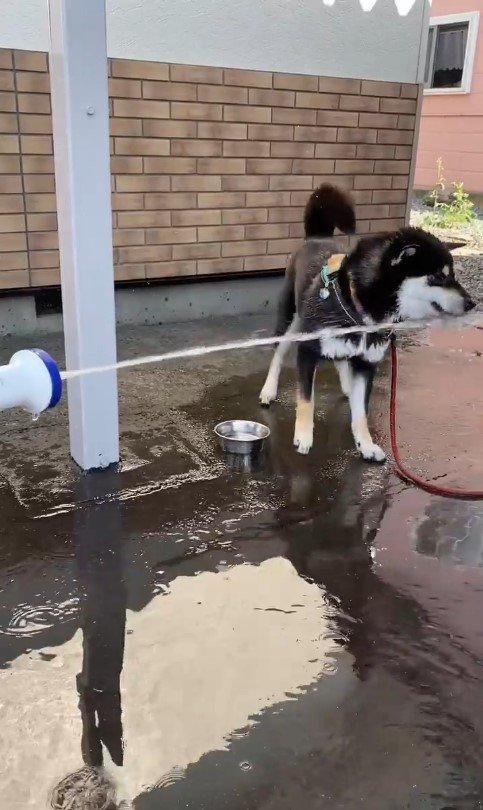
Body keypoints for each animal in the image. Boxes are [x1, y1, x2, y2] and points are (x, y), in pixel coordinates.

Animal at [260, 183, 476, 460]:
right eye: (438, 276)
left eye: (453, 275)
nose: (472, 303)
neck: (361, 308)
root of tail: (316, 237)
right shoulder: (308, 352)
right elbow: (306, 399)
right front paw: (304, 436)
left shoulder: (367, 363)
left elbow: (361, 412)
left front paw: (366, 444)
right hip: (290, 320)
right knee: (278, 354)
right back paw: (268, 391)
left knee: (341, 359)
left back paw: (346, 386)